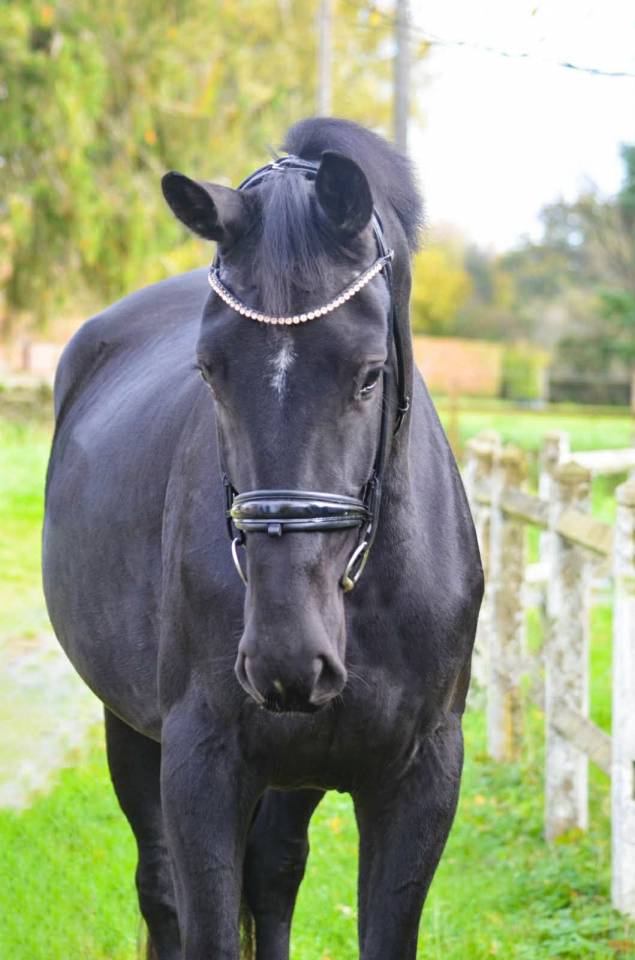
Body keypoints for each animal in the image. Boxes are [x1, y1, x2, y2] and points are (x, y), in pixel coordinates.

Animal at [43, 117, 483, 960]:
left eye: (369, 373)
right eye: (209, 370)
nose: (285, 656)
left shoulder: (419, 782)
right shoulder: (200, 769)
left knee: (274, 875)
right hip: (130, 730)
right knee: (163, 893)